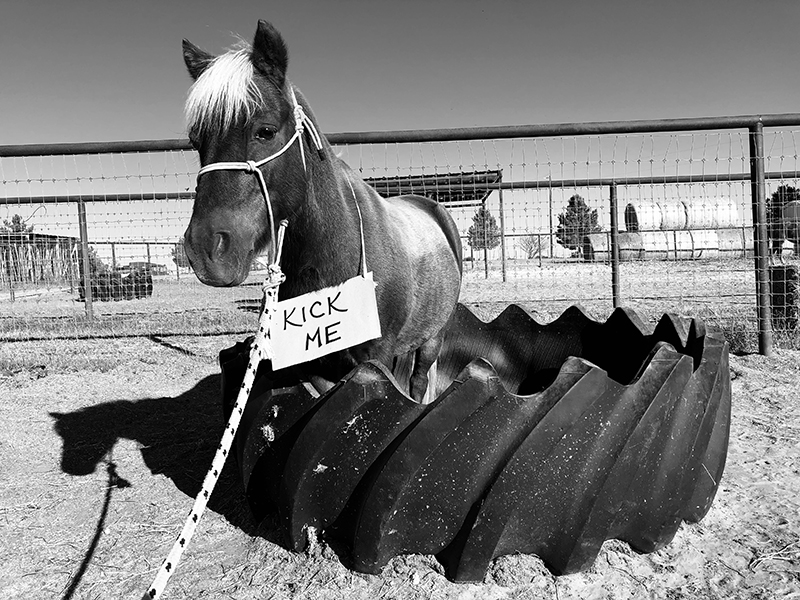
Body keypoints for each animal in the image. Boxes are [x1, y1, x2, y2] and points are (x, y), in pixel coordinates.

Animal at [181, 20, 462, 402]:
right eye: (196, 141)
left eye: (265, 131)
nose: (206, 249)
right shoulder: (313, 362)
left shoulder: (378, 355)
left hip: (434, 337)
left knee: (419, 383)